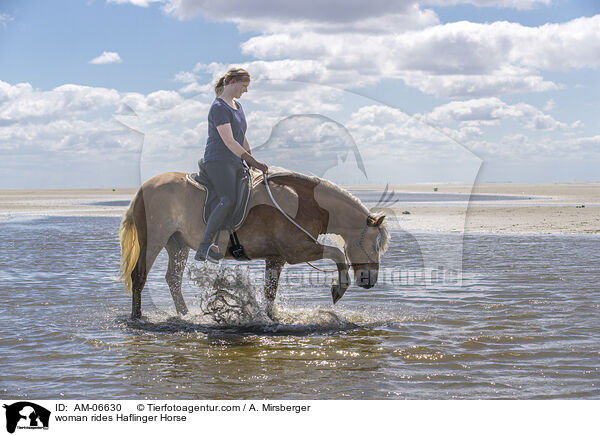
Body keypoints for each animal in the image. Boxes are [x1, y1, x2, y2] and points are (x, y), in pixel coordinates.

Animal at [118, 169, 390, 318]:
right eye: (373, 245)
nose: (369, 280)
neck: (305, 203)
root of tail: (143, 189)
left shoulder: (277, 257)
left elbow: (270, 291)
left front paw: (268, 317)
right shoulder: (297, 249)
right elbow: (337, 254)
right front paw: (339, 288)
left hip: (177, 244)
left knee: (173, 280)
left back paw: (185, 315)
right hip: (153, 240)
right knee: (139, 276)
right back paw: (137, 316)